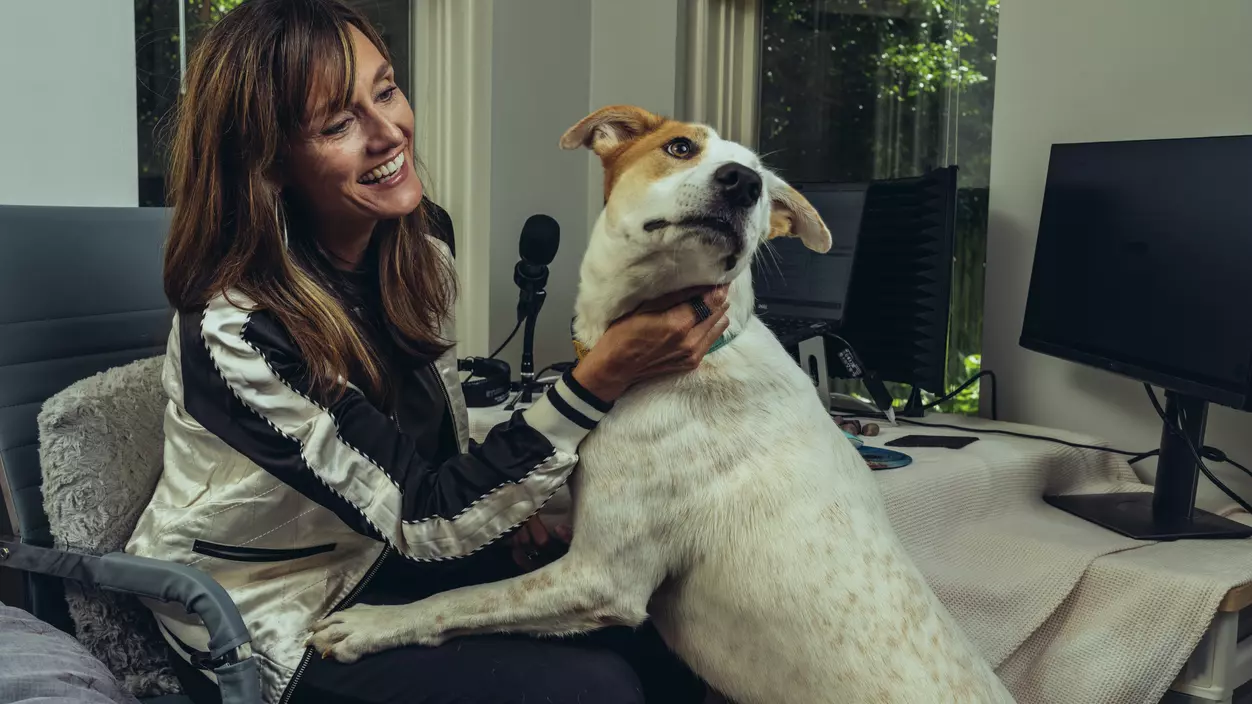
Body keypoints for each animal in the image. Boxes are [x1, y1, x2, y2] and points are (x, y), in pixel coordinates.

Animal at [305, 103, 1016, 701]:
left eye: (763, 185)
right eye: (679, 147)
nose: (742, 183)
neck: (690, 357)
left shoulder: (598, 578)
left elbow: (463, 599)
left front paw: (369, 625)